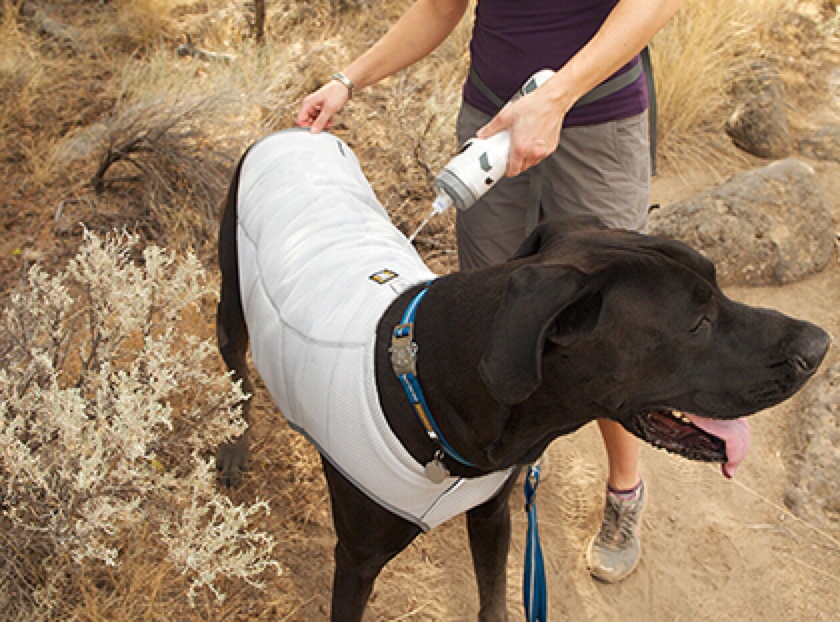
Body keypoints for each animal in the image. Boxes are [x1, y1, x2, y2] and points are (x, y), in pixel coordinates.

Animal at [213, 130, 832, 620]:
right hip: (232, 298)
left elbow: (493, 598)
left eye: (718, 282)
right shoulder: (358, 560)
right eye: (697, 323)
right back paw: (233, 451)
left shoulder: (492, 516)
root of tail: (299, 131)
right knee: (237, 376)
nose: (820, 346)